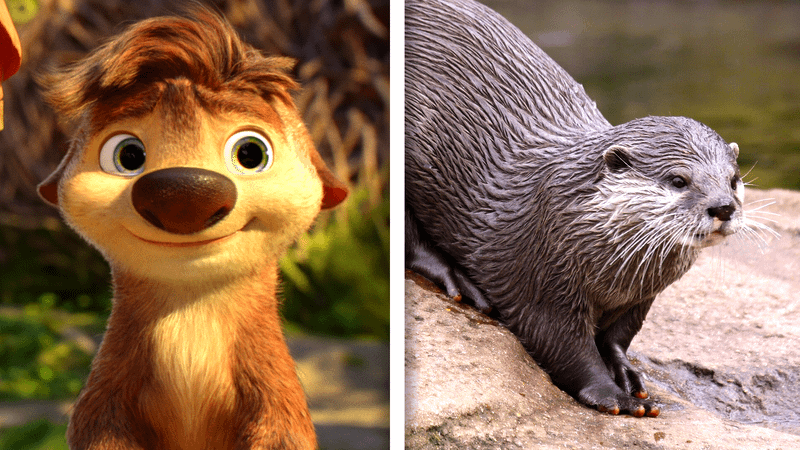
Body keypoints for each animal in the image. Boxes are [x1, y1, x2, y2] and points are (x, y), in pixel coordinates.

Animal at [405, 0, 746, 417]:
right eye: (679, 180)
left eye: (733, 179)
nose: (723, 207)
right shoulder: (539, 271)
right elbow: (562, 345)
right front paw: (613, 395)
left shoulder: (640, 298)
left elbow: (618, 337)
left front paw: (626, 372)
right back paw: (458, 281)